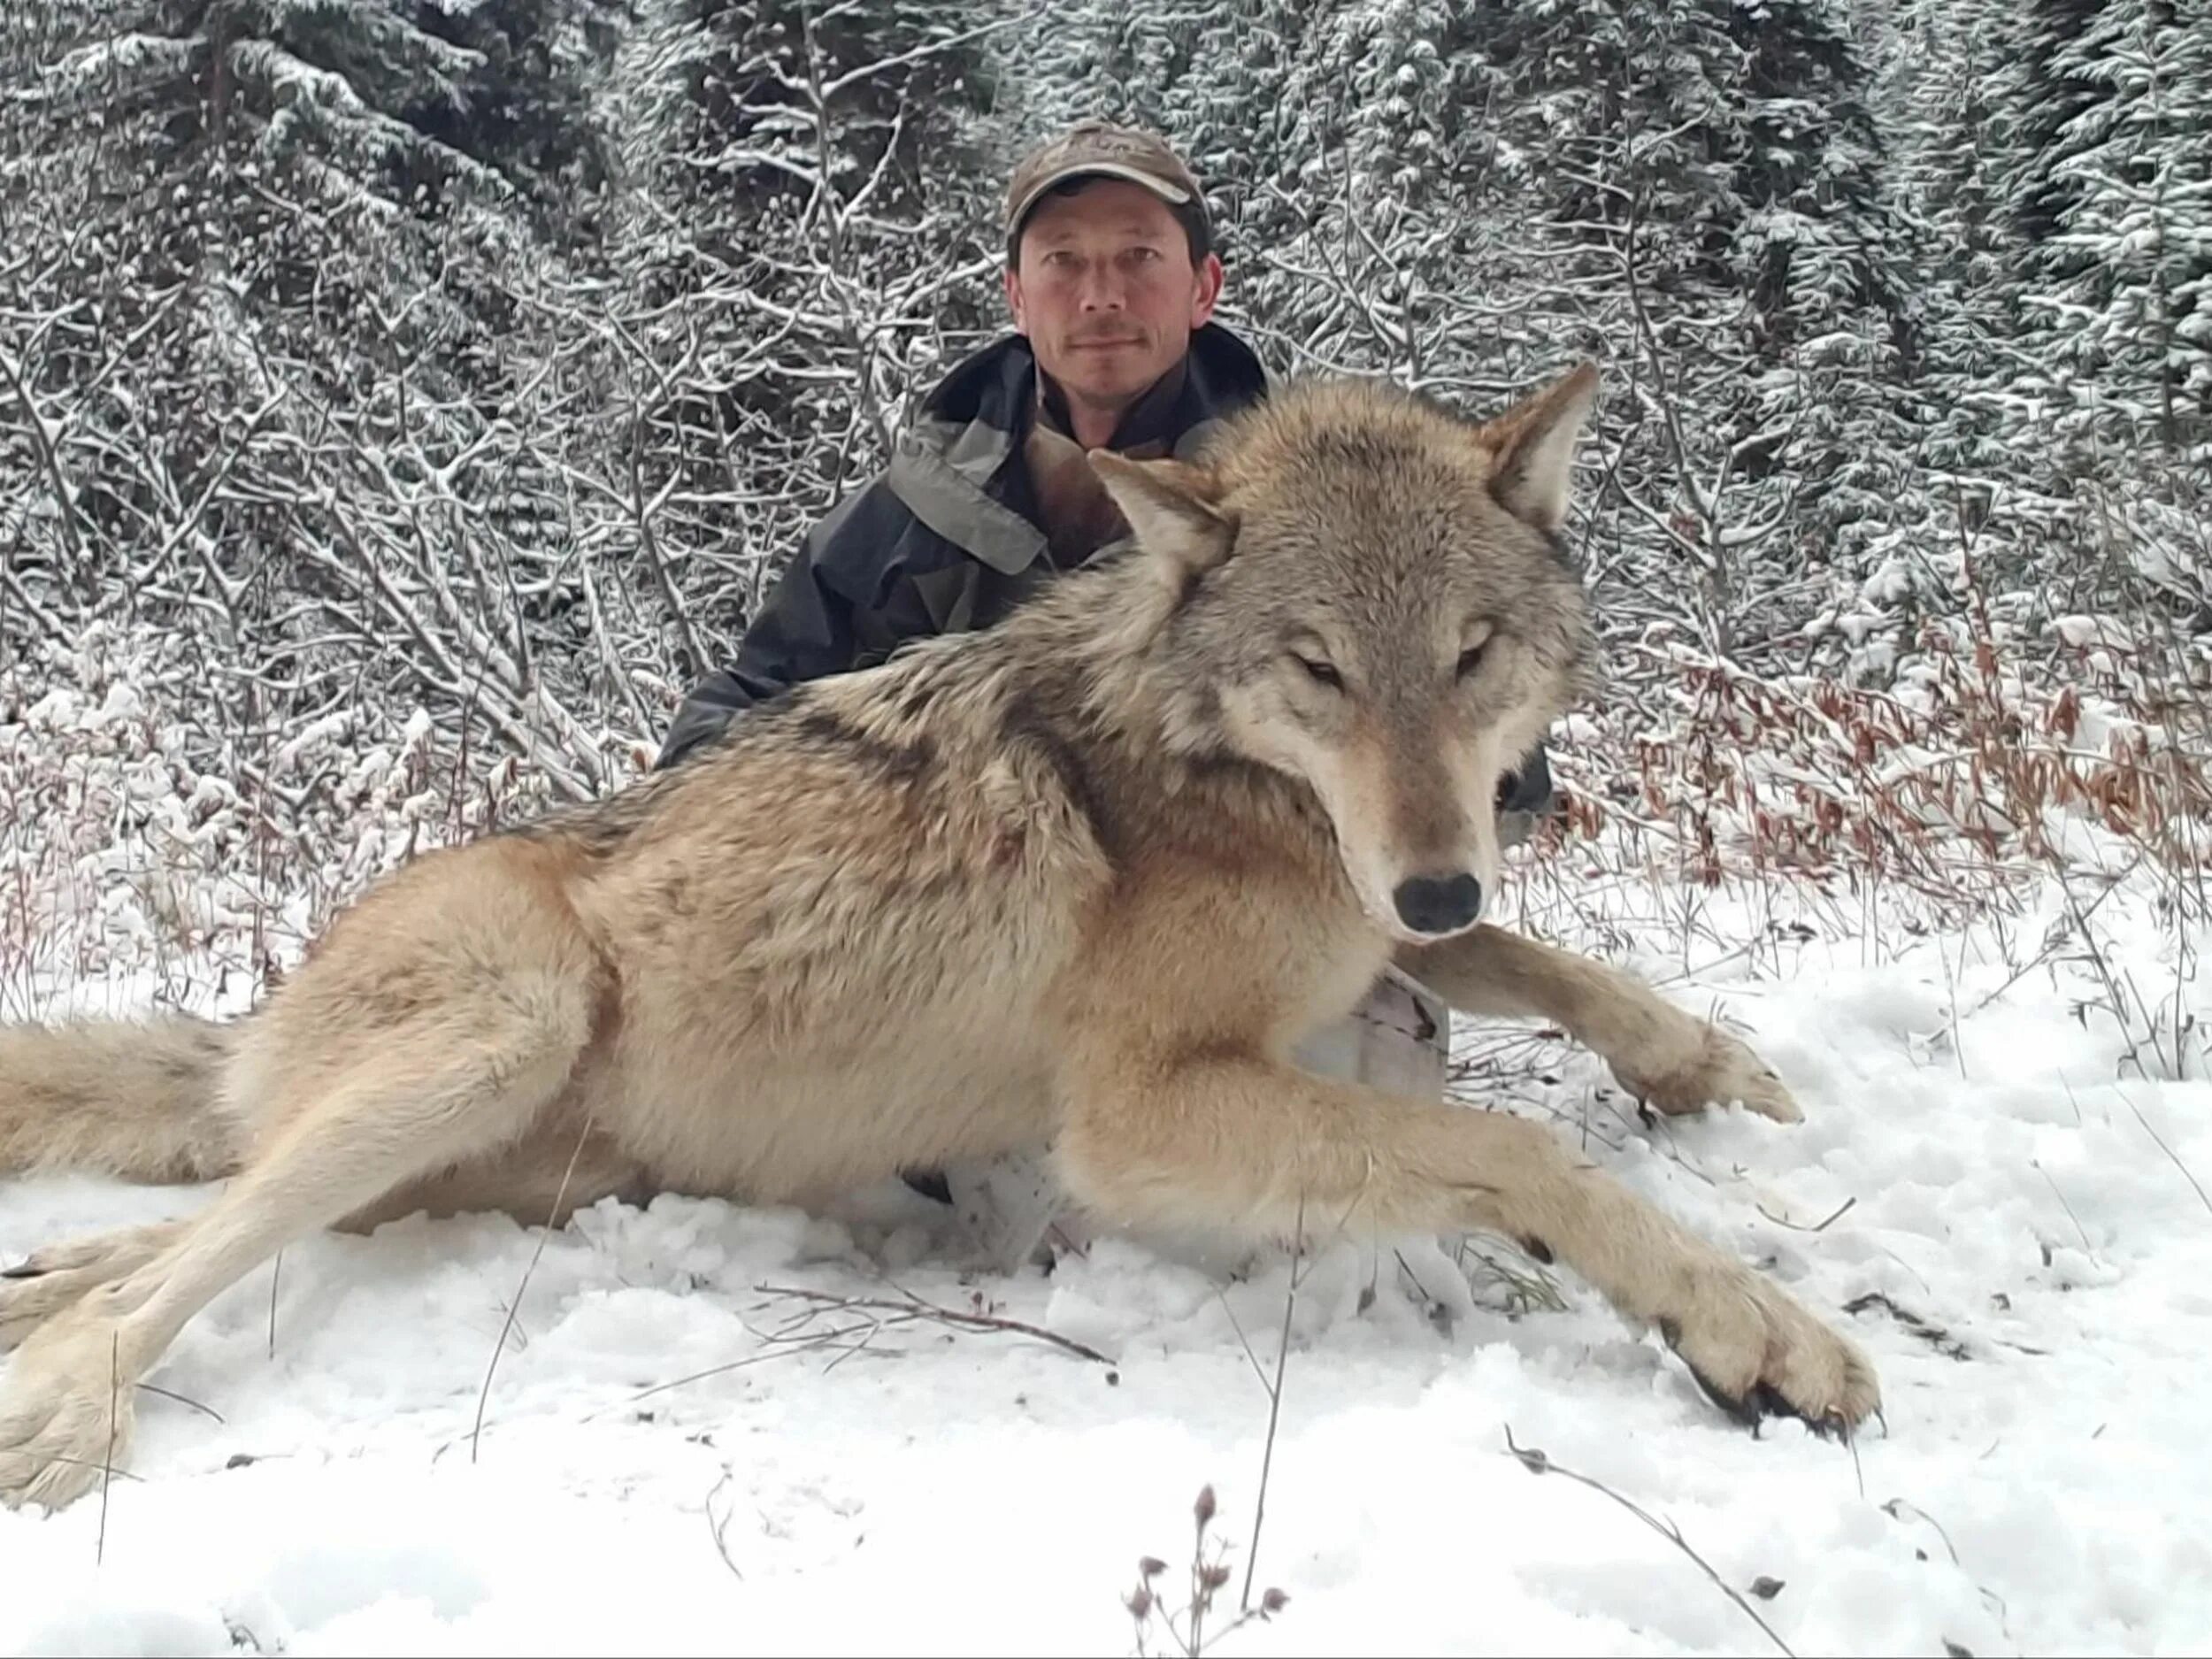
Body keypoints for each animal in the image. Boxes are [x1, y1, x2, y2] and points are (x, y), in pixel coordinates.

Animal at [0, 369, 1867, 1513]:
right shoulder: (1143, 1107)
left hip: (486, 1164)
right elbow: (1526, 1155)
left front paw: (1715, 1070)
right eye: (1321, 667)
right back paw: (60, 1414)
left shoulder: (1377, 917)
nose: (1431, 893)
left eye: (1472, 652)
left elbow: (1555, 970)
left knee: (171, 1235)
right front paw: (1759, 1333)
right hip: (499, 1034)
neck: (1214, 775)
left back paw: (32, 1300)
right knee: (167, 1276)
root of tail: (261, 1016)